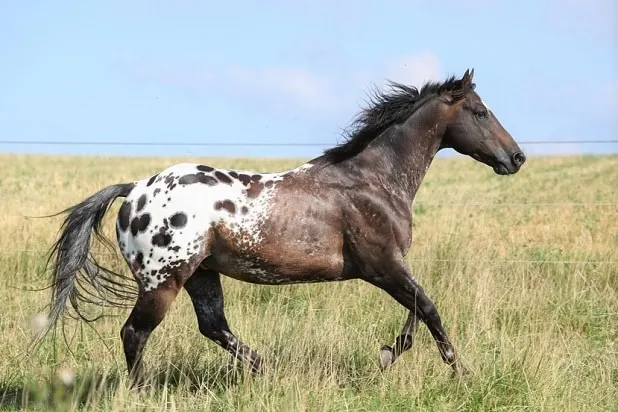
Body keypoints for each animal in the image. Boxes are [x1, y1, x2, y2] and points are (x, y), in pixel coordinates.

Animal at [38, 68, 524, 386]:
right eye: (480, 112)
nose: (516, 157)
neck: (372, 179)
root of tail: (135, 189)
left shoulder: (391, 266)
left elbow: (418, 312)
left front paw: (389, 354)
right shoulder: (382, 265)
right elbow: (430, 309)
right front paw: (462, 373)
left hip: (202, 273)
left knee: (213, 326)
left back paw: (266, 371)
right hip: (164, 281)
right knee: (134, 333)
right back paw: (143, 390)